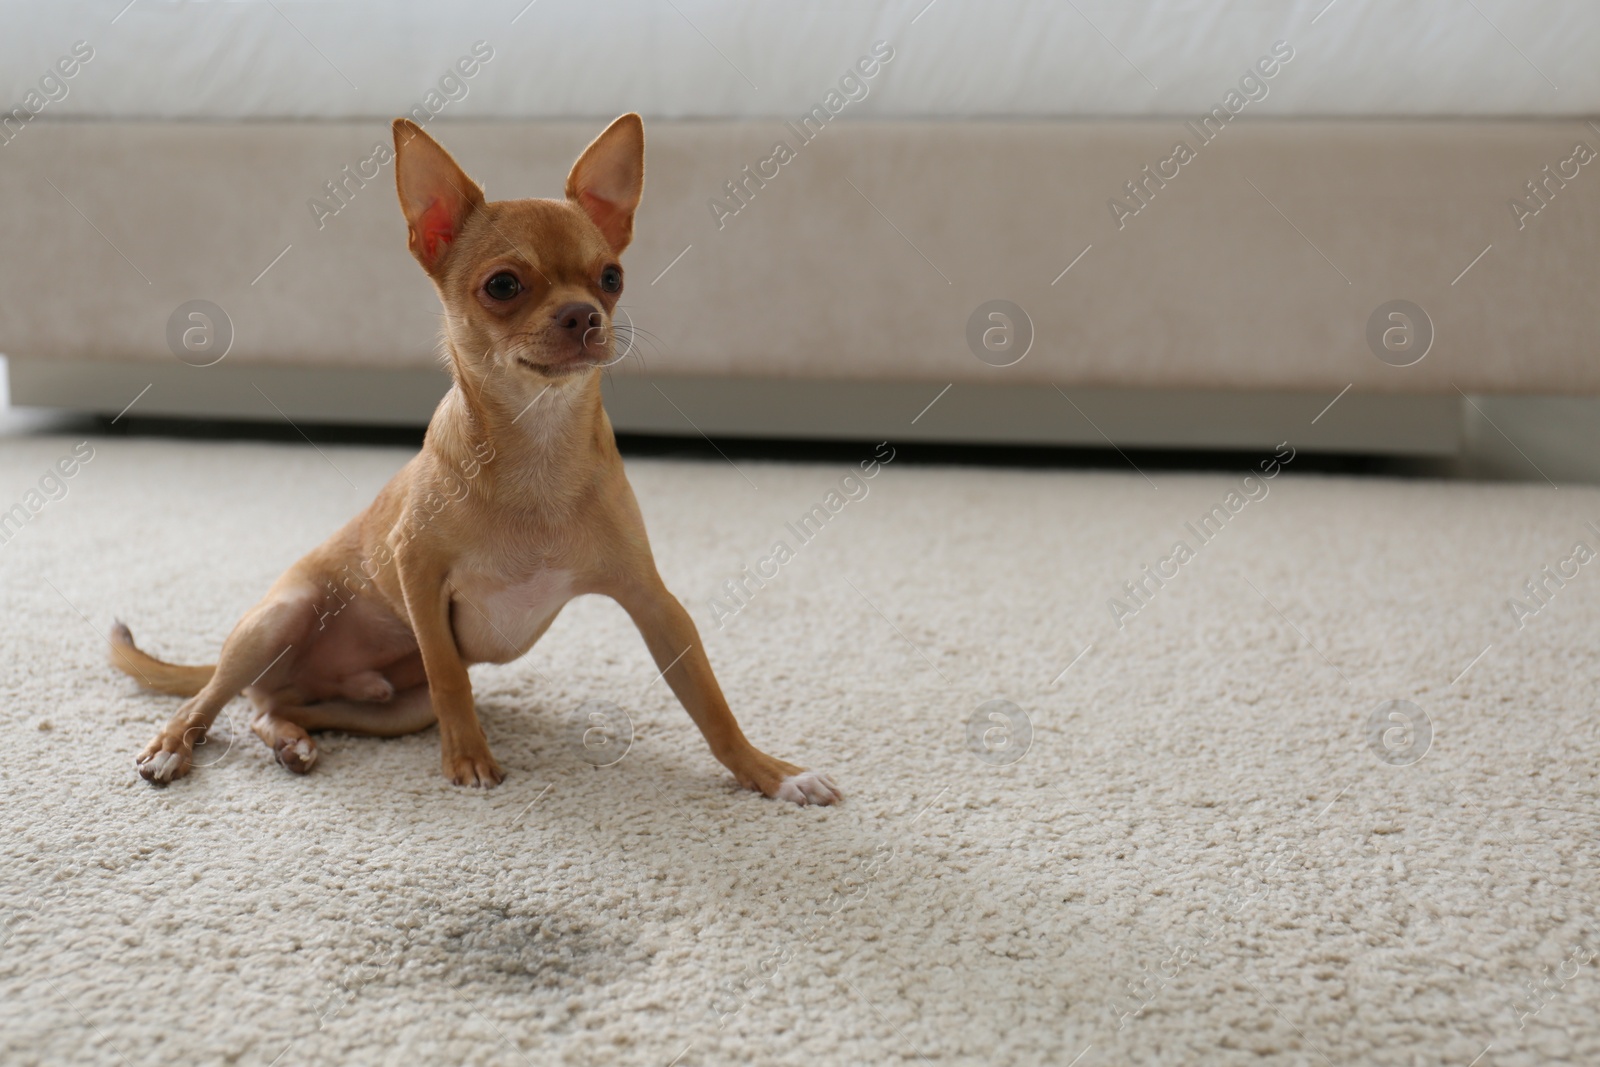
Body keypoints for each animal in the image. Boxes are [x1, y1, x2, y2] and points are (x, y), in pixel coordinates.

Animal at [111, 112, 838, 806]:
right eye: (504, 285)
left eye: (612, 277)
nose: (585, 315)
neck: (538, 443)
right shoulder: (418, 571)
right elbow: (450, 676)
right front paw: (467, 759)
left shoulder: (654, 602)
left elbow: (711, 705)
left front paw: (770, 773)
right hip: (276, 622)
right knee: (211, 698)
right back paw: (173, 746)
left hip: (393, 709)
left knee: (273, 707)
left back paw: (290, 739)